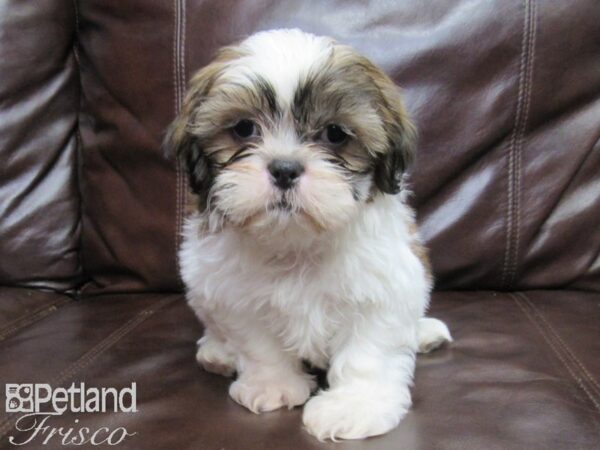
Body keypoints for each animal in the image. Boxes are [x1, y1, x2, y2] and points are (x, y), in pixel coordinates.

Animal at [164, 28, 450, 440]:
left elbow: (369, 352)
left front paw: (354, 406)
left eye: (335, 134)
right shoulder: (232, 293)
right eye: (244, 128)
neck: (296, 241)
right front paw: (272, 385)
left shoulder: (385, 285)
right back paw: (218, 351)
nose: (284, 168)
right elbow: (258, 344)